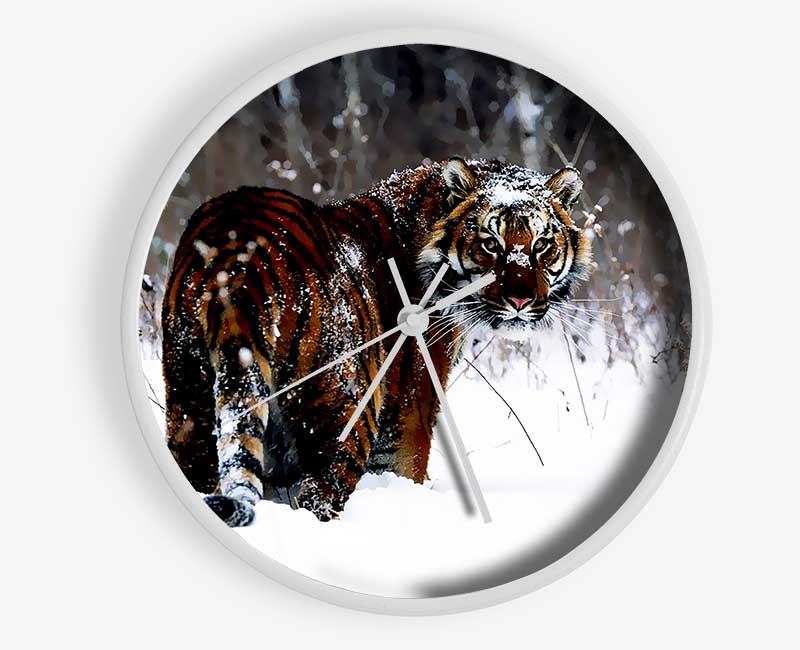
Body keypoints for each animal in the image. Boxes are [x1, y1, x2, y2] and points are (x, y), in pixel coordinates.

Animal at [161, 157, 591, 526]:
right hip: (344, 413)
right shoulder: (410, 410)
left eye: (541, 245)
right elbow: (407, 465)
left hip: (189, 398)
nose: (520, 300)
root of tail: (237, 258)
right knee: (320, 496)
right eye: (490, 244)